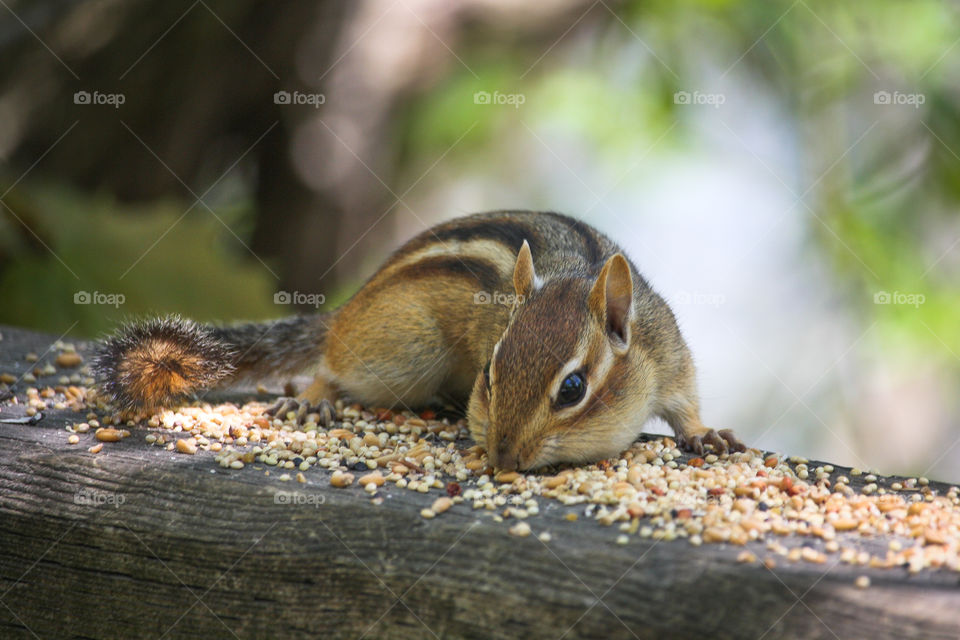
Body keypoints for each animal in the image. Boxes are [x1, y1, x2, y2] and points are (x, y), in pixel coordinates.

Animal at [93, 210, 745, 470]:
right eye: (489, 376)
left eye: (573, 389)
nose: (502, 457)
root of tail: (349, 310)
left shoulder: (669, 355)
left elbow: (685, 405)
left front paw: (705, 435)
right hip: (400, 351)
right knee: (333, 361)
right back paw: (315, 396)